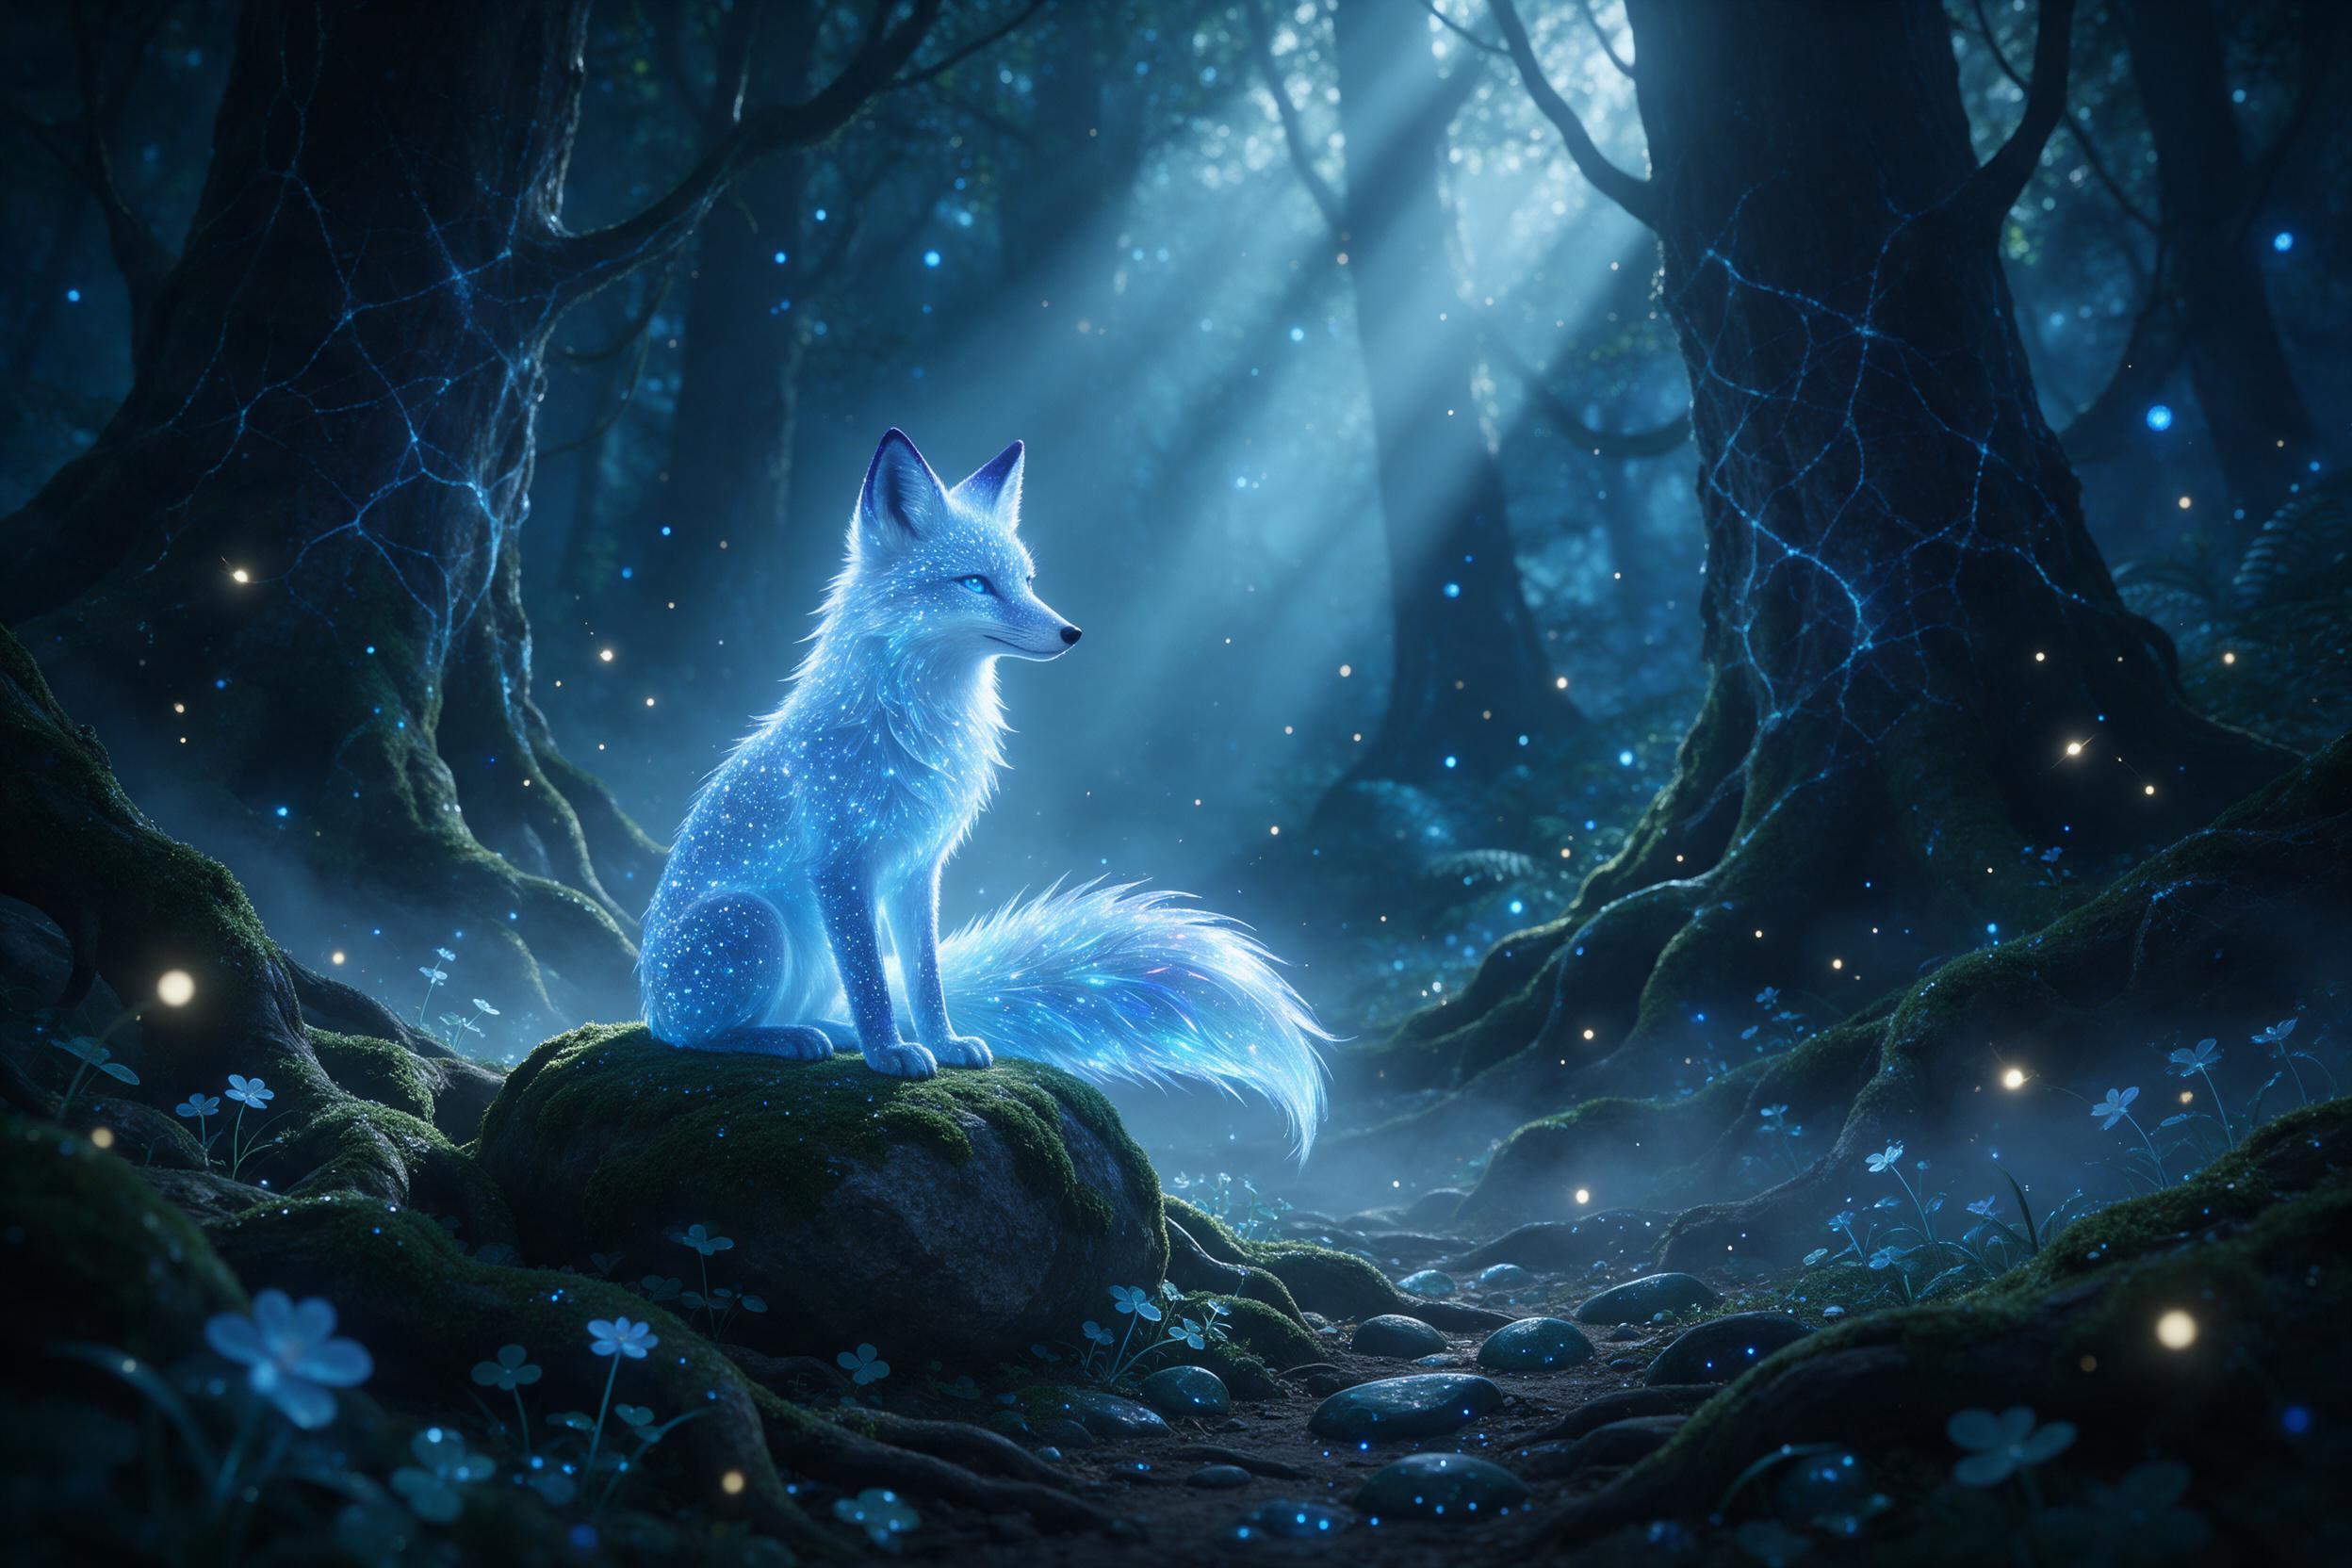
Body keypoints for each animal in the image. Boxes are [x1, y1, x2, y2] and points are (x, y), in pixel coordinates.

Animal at [638, 429, 1329, 1153]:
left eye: (1025, 580)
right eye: (974, 583)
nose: (1072, 633)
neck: (913, 727)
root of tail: (648, 998)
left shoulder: (918, 868)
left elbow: (922, 975)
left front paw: (939, 1043)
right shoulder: (841, 866)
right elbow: (874, 980)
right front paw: (890, 1053)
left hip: (804, 953)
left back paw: (829, 1031)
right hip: (751, 923)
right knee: (694, 1036)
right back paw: (782, 1036)